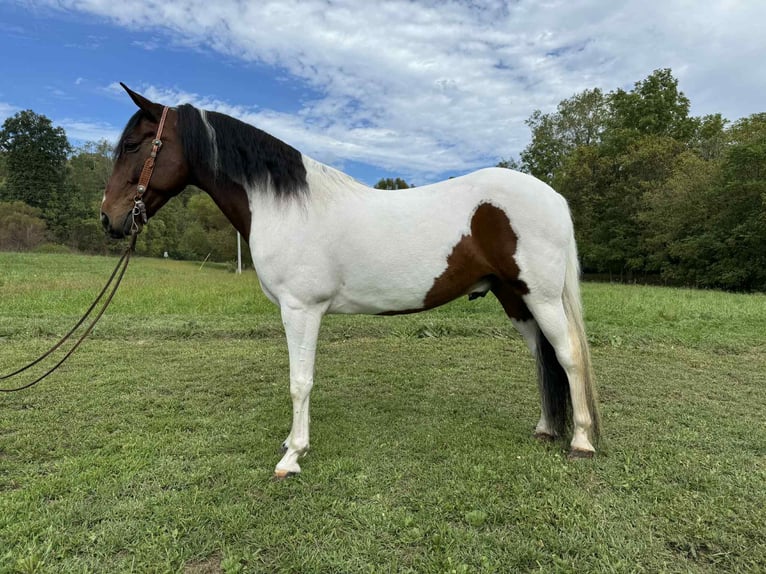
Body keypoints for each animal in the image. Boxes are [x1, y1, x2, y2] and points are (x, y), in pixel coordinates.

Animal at [101, 84, 600, 479]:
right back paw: (545, 429)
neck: (284, 206)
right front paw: (292, 444)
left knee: (568, 357)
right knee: (542, 359)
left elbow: (300, 381)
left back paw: (580, 442)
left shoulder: (301, 310)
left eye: (133, 145)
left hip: (541, 297)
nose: (109, 219)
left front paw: (292, 456)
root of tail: (553, 197)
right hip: (515, 298)